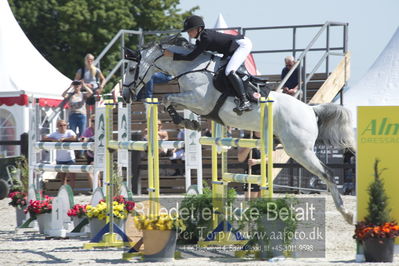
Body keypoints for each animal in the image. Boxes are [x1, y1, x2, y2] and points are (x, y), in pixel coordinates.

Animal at [122, 41, 356, 224]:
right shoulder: (194, 103)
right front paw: (190, 123)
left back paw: (347, 214)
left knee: (327, 173)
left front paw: (185, 121)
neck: (190, 67)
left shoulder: (199, 101)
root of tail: (310, 109)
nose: (125, 95)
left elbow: (167, 99)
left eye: (132, 69)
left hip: (299, 150)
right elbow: (169, 101)